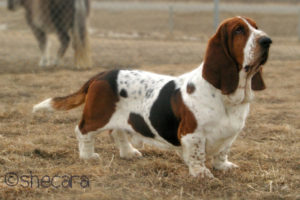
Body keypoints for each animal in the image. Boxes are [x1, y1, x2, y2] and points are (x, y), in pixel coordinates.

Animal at [32, 16, 272, 177]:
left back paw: (129, 152)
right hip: (97, 116)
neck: (227, 97)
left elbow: (222, 152)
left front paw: (224, 166)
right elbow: (197, 155)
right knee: (82, 131)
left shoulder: (230, 135)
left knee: (118, 132)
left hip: (122, 118)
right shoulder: (192, 134)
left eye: (257, 27)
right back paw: (88, 156)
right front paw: (201, 173)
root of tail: (101, 75)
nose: (267, 40)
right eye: (239, 30)